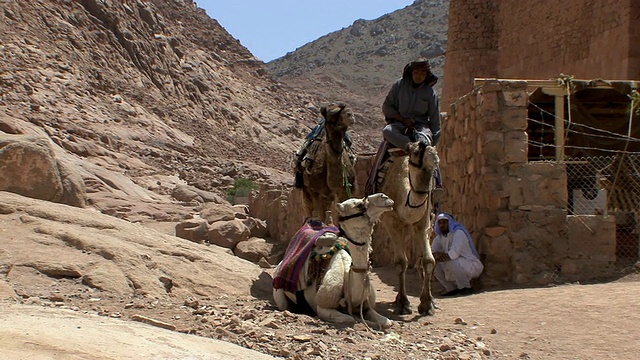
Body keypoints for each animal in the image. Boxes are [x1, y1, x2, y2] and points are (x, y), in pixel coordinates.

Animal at [272, 193, 392, 330]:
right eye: (359, 204)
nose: (385, 197)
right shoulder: (323, 307)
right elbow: (350, 318)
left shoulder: (367, 306)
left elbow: (387, 322)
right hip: (279, 291)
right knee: (284, 305)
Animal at [380, 141, 440, 316]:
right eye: (415, 152)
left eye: (435, 151)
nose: (434, 159)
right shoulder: (390, 221)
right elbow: (401, 263)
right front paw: (402, 303)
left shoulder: (424, 220)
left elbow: (429, 261)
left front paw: (427, 304)